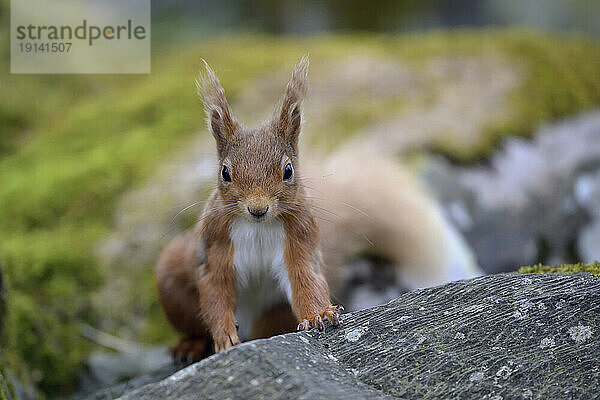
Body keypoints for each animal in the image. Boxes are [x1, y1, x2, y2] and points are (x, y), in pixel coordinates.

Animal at [155, 57, 342, 360]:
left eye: (288, 170)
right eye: (225, 173)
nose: (258, 209)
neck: (258, 227)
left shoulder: (300, 237)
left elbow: (306, 279)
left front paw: (318, 314)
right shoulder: (215, 246)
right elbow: (215, 293)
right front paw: (224, 337)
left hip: (275, 312)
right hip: (173, 284)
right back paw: (189, 345)